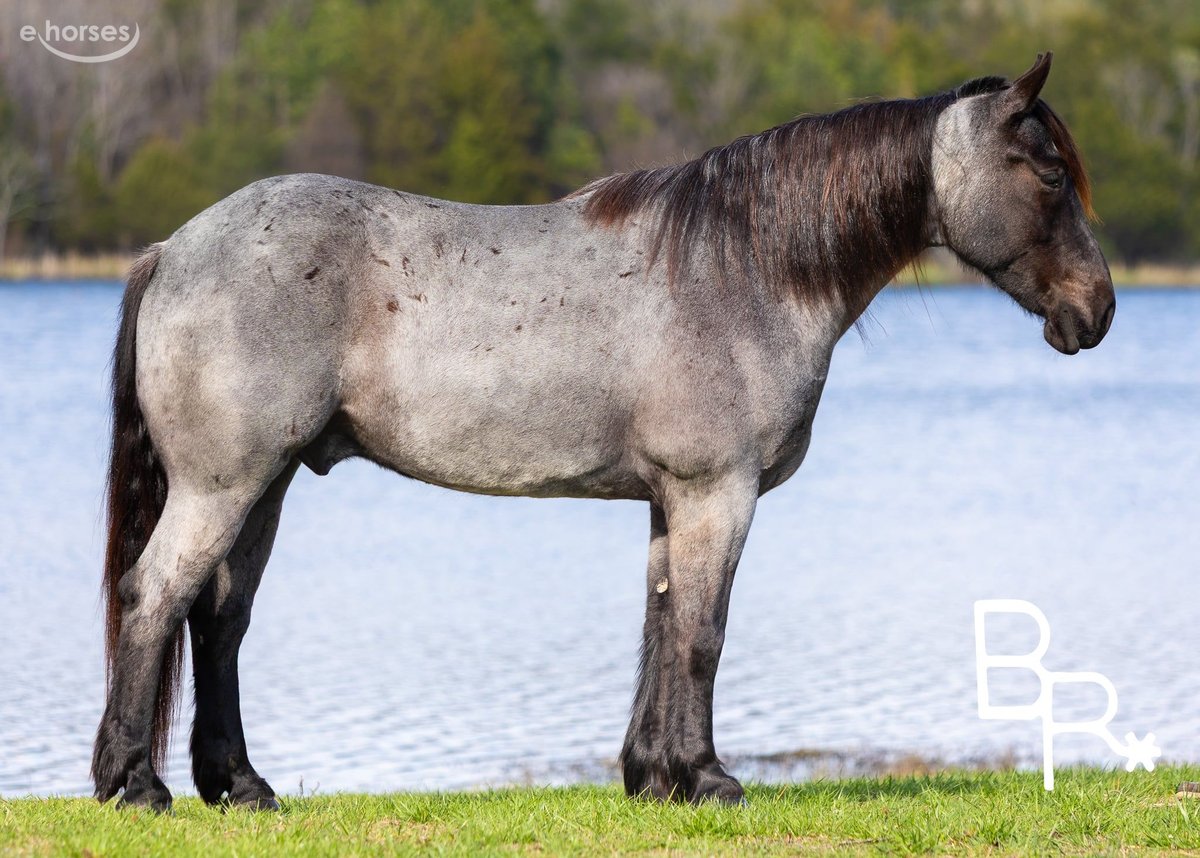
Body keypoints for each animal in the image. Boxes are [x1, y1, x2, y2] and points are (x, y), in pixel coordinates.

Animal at [92, 52, 1114, 810]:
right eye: (1048, 174)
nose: (1096, 311)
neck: (745, 268)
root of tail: (172, 249)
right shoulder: (717, 492)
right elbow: (703, 631)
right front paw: (708, 779)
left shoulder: (673, 499)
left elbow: (661, 624)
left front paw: (654, 777)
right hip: (224, 485)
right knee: (155, 595)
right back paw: (135, 785)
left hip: (263, 483)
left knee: (219, 619)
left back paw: (239, 786)